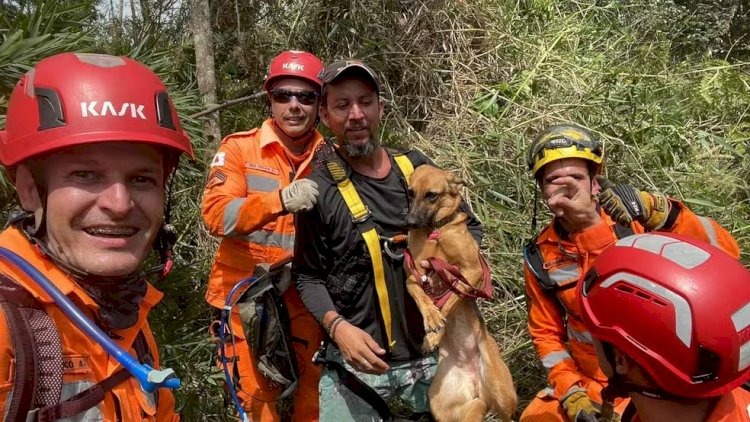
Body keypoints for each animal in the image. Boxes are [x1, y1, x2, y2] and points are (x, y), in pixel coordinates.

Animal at [406, 165, 516, 422]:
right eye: (410, 192)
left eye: (431, 195)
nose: (410, 222)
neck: (436, 232)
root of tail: (476, 383)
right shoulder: (413, 276)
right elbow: (421, 296)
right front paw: (432, 319)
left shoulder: (472, 272)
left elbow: (451, 299)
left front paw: (435, 332)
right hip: (442, 405)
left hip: (503, 393)